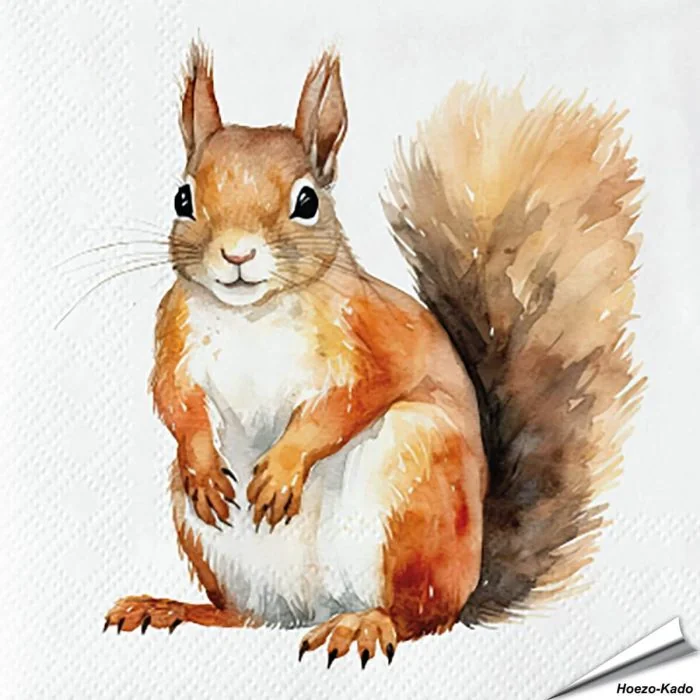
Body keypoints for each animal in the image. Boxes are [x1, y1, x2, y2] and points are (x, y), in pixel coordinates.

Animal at [103, 42, 644, 668]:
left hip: (415, 484)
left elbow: (346, 404)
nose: (236, 254)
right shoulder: (176, 336)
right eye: (183, 198)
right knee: (246, 615)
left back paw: (364, 624)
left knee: (421, 617)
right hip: (211, 545)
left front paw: (282, 470)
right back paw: (173, 608)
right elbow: (174, 400)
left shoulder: (373, 337)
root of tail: (312, 609)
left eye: (307, 201)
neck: (252, 314)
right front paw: (204, 467)